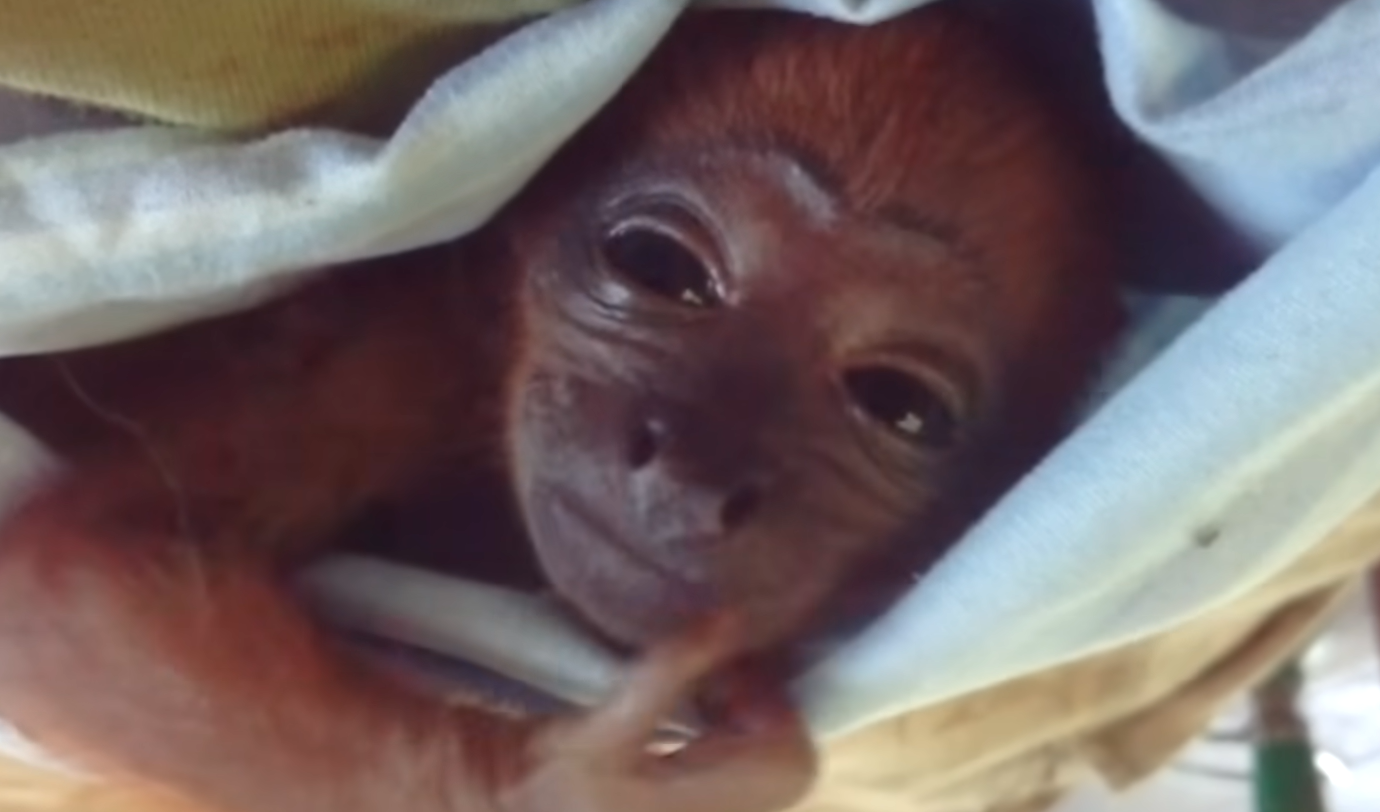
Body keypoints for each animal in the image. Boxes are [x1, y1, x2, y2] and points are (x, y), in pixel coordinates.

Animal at [0, 5, 1124, 812]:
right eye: (660, 268)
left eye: (899, 405)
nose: (694, 479)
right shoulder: (390, 350)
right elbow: (74, 573)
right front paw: (542, 784)